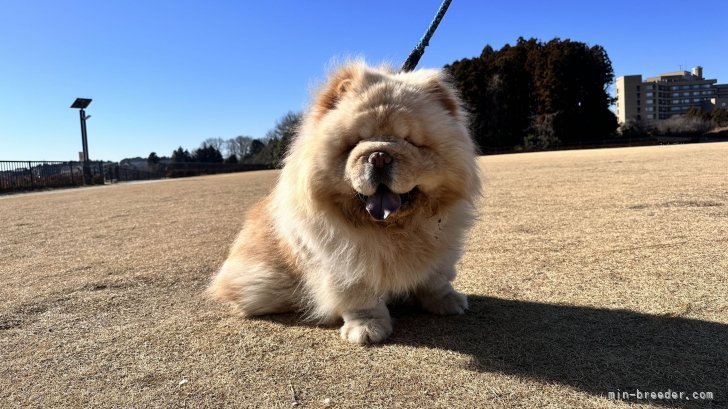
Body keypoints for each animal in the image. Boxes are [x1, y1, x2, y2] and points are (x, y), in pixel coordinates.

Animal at [209, 59, 484, 342]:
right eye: (357, 142)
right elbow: (360, 297)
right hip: (261, 284)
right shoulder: (343, 261)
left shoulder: (442, 241)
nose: (379, 156)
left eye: (410, 141)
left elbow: (435, 277)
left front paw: (447, 300)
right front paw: (367, 328)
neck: (393, 230)